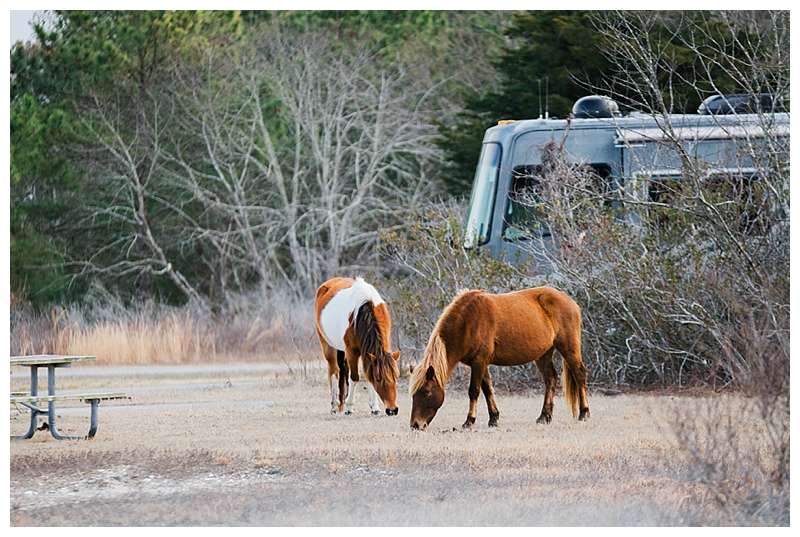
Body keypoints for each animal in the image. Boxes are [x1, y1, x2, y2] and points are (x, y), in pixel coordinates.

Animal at [314, 276, 398, 414]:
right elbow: (354, 377)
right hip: (328, 345)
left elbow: (367, 374)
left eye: (396, 377)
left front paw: (375, 407)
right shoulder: (352, 351)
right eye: (378, 379)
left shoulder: (367, 353)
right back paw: (335, 405)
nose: (393, 410)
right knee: (334, 371)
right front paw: (349, 407)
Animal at [412, 286, 588, 430]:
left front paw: (469, 421)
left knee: (579, 375)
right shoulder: (481, 363)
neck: (468, 321)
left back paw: (584, 413)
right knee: (551, 378)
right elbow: (487, 389)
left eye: (427, 392)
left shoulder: (479, 362)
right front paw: (493, 419)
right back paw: (544, 417)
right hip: (543, 354)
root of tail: (570, 301)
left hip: (569, 348)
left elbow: (474, 391)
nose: (415, 425)